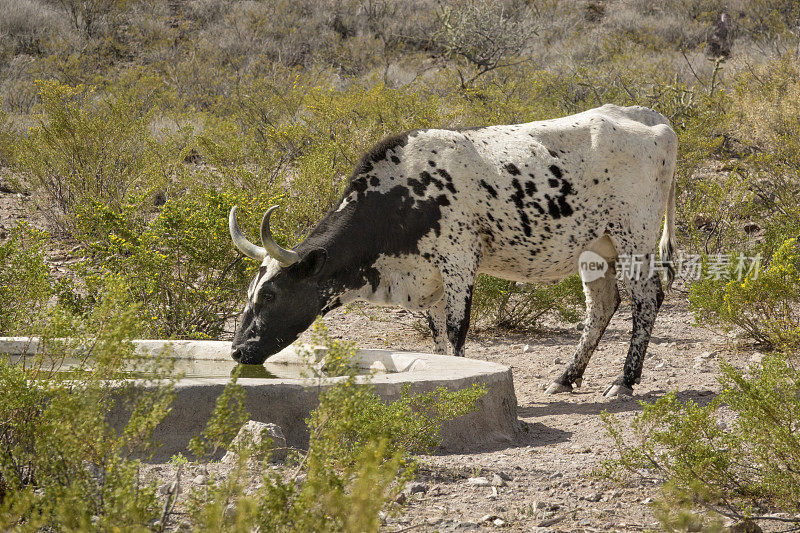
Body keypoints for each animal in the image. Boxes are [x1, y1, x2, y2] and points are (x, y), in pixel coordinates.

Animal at [228, 104, 680, 394]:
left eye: (270, 295)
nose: (236, 349)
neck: (406, 194)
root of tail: (650, 118)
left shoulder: (459, 263)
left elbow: (456, 330)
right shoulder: (428, 283)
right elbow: (437, 339)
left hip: (634, 239)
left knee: (646, 300)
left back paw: (624, 381)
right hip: (593, 250)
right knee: (602, 306)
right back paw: (567, 377)